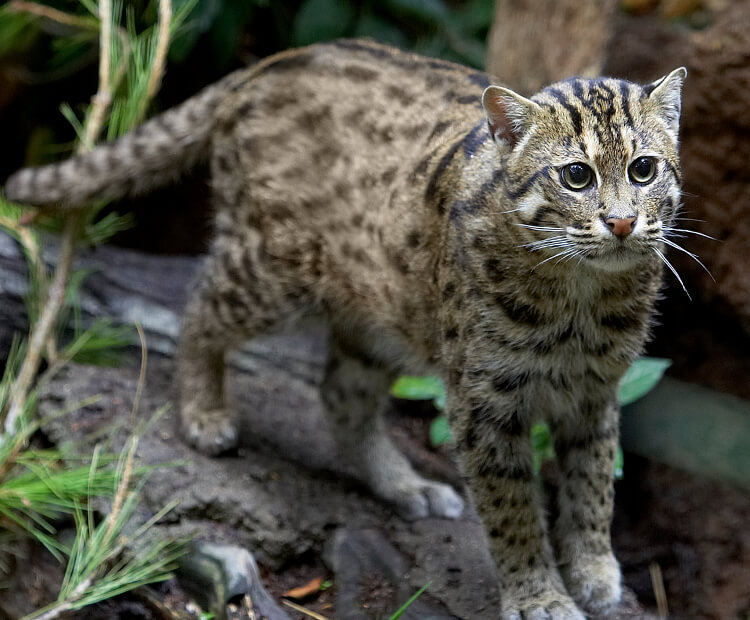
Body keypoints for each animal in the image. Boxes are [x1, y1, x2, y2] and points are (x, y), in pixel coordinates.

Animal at [4, 38, 688, 620]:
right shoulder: (484, 399)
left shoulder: (596, 389)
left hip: (377, 312)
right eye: (576, 176)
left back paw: (404, 486)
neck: (580, 295)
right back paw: (203, 414)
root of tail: (270, 63)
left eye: (644, 169)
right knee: (200, 305)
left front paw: (596, 573)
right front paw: (540, 596)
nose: (623, 223)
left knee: (339, 393)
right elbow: (513, 508)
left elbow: (593, 484)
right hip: (273, 266)